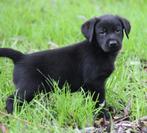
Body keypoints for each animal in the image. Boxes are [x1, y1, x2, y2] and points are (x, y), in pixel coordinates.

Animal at [0, 14, 131, 114]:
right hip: (29, 87)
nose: (113, 43)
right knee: (11, 99)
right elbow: (99, 100)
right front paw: (103, 113)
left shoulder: (90, 86)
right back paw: (14, 114)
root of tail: (21, 57)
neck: (98, 50)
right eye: (102, 32)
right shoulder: (95, 82)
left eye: (118, 30)